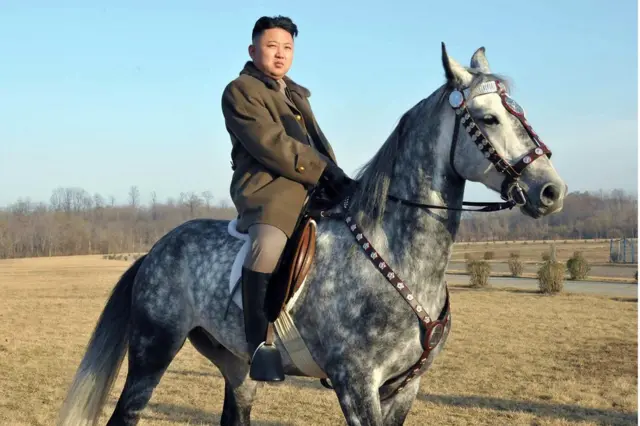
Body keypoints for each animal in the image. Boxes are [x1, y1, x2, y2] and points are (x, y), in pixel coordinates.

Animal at [57, 43, 567, 426]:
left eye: (520, 112)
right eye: (488, 118)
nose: (551, 190)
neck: (397, 257)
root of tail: (155, 251)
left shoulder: (405, 387)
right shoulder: (356, 385)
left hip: (235, 364)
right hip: (152, 352)